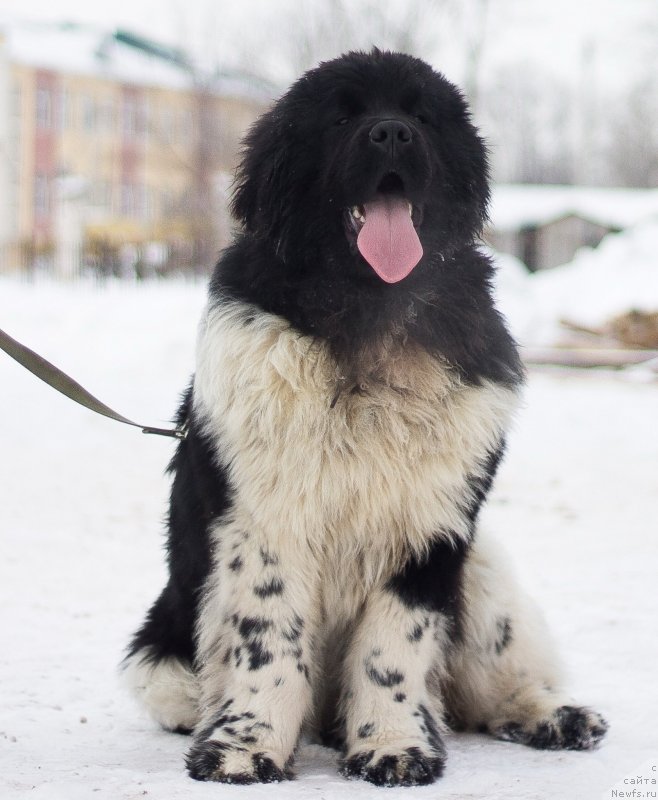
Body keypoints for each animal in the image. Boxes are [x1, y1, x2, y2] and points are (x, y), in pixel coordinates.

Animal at [121, 50, 604, 788]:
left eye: (421, 117)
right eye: (341, 117)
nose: (392, 134)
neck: (366, 324)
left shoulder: (430, 528)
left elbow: (394, 648)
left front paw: (394, 746)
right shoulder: (265, 519)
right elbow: (267, 638)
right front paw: (243, 747)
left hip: (484, 569)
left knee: (493, 684)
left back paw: (556, 715)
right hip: (161, 653)